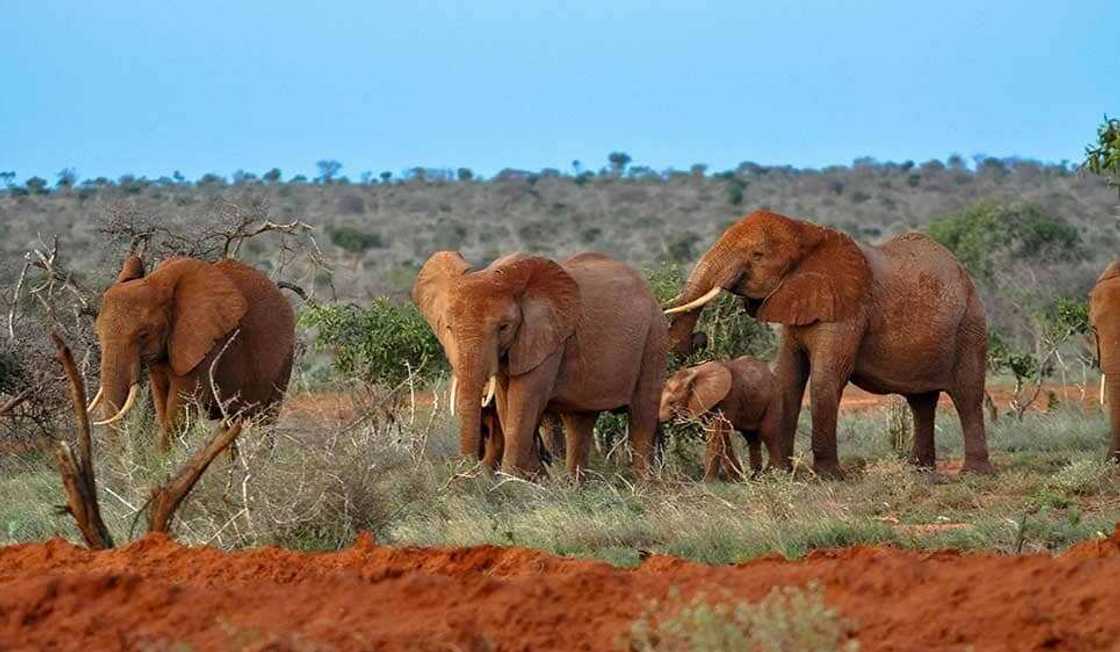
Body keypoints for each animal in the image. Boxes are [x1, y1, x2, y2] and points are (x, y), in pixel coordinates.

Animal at [90, 255, 297, 450]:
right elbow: (162, 403)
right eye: (98, 332)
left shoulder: (207, 343)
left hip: (285, 360)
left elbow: (180, 412)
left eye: (143, 334)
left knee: (266, 422)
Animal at [416, 250, 667, 474]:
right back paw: (574, 487)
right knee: (579, 421)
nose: (465, 471)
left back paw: (642, 484)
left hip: (653, 337)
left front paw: (513, 481)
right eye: (449, 328)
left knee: (642, 414)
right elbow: (506, 403)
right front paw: (531, 477)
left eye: (504, 327)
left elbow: (523, 399)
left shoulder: (548, 339)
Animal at [654, 358, 788, 479]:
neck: (695, 372)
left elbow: (717, 436)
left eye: (672, 402)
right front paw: (736, 478)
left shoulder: (728, 399)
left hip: (774, 398)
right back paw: (756, 476)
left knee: (768, 433)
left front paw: (708, 483)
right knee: (751, 437)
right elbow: (721, 437)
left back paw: (774, 474)